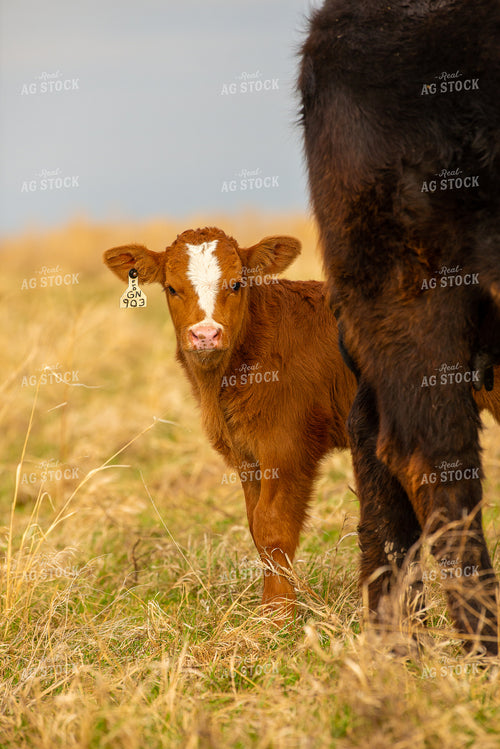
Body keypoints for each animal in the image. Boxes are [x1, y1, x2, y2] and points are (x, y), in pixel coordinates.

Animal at [104, 226, 356, 619]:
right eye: (171, 288)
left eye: (237, 284)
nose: (206, 334)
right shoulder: (246, 454)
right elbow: (255, 525)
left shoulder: (286, 445)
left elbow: (272, 526)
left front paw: (278, 614)